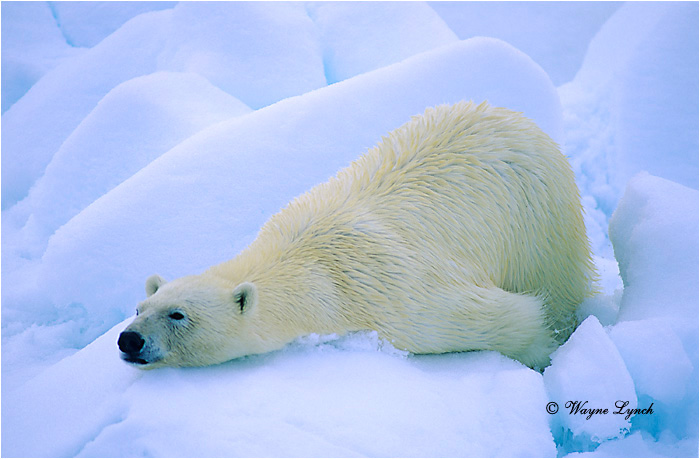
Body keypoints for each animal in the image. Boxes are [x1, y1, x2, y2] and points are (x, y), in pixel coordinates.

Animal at [118, 101, 597, 370]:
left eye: (178, 314)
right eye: (139, 307)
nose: (129, 339)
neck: (314, 268)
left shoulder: (404, 301)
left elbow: (513, 316)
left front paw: (542, 361)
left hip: (541, 219)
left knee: (556, 284)